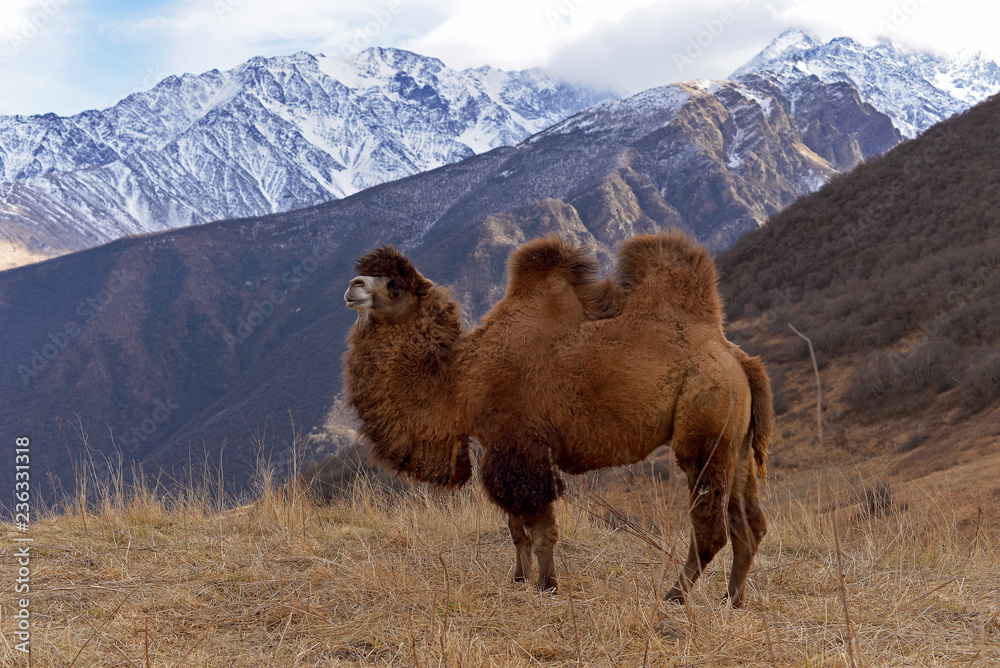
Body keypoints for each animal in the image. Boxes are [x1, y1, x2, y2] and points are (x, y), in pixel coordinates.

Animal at [342, 232, 773, 607]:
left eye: (395, 284)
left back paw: (674, 595)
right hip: (737, 443)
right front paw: (518, 580)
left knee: (711, 527)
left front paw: (546, 585)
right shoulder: (502, 448)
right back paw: (732, 601)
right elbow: (516, 528)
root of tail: (737, 358)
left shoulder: (521, 446)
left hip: (706, 425)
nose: (353, 284)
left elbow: (540, 528)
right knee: (749, 524)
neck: (463, 379)